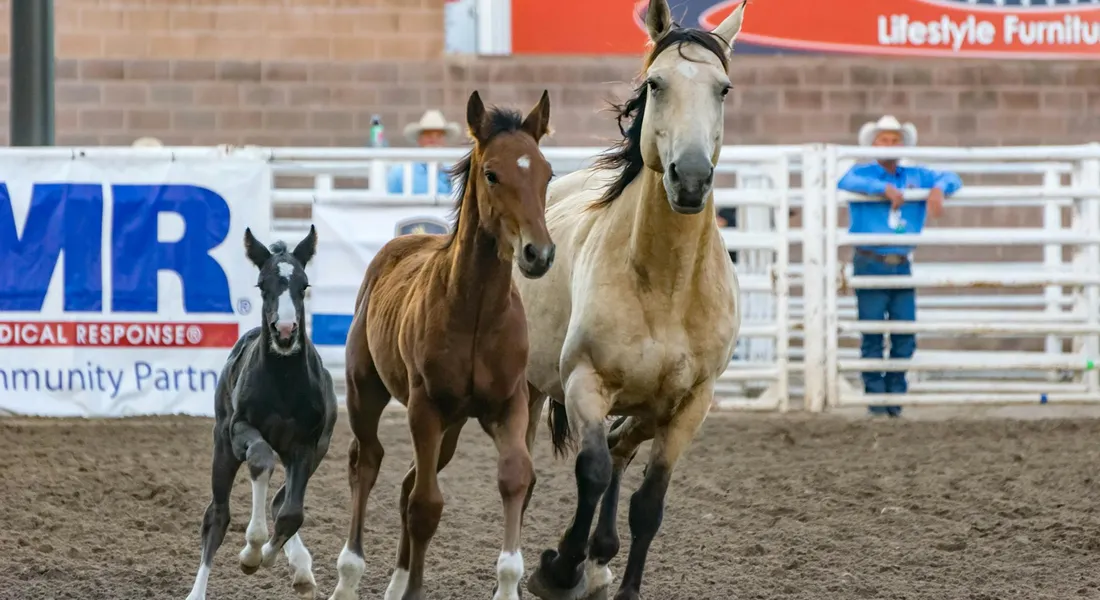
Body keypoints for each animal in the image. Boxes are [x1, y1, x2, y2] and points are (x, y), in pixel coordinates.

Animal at [186, 225, 338, 600]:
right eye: (261, 284)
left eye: (304, 285)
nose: (284, 332)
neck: (283, 383)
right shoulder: (240, 430)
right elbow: (260, 459)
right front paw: (251, 551)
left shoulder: (306, 445)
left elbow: (291, 513)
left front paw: (272, 557)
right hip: (222, 447)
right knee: (217, 516)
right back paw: (197, 591)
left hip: (318, 451)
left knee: (281, 501)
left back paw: (301, 568)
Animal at [327, 89, 556, 600]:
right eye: (492, 173)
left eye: (547, 173)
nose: (539, 253)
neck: (475, 313)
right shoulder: (424, 407)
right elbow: (426, 505)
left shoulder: (509, 404)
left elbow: (516, 478)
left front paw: (508, 584)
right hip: (366, 392)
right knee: (367, 462)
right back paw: (348, 576)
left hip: (450, 428)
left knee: (406, 481)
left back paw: (394, 582)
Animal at [514, 2, 746, 599]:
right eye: (656, 83)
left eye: (724, 89)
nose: (691, 178)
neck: (665, 285)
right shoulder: (585, 381)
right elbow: (591, 471)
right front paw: (557, 569)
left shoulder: (691, 406)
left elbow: (649, 503)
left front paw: (621, 581)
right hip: (528, 388)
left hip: (648, 406)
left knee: (622, 448)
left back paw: (600, 558)